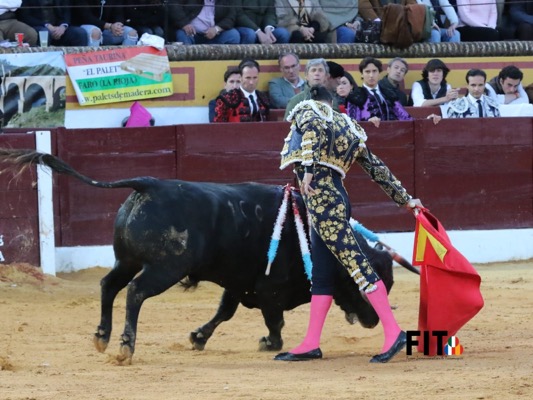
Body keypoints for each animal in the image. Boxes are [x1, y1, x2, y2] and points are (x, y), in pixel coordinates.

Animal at [0, 148, 415, 365]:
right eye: (365, 286)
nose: (372, 322)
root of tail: (149, 184)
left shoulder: (240, 282)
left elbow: (224, 312)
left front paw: (198, 337)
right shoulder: (269, 289)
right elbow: (275, 323)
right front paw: (269, 344)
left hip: (127, 259)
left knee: (108, 285)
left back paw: (102, 337)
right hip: (165, 268)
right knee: (135, 292)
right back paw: (125, 346)